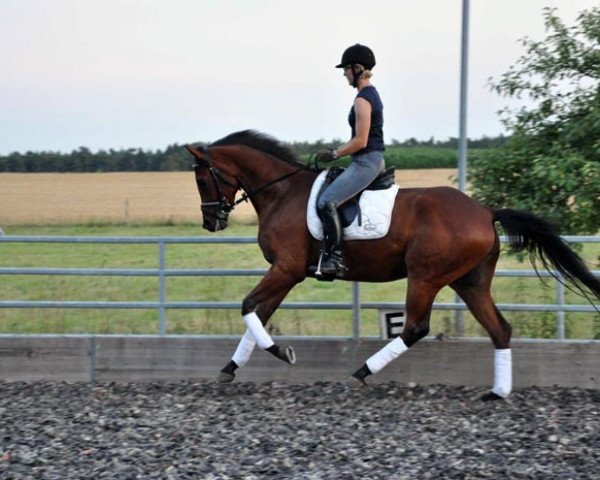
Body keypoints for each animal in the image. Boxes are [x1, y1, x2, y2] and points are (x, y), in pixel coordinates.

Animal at [186, 129, 600, 400]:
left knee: (416, 327)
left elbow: (248, 307)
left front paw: (281, 353)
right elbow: (257, 314)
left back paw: (360, 374)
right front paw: (229, 370)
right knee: (499, 329)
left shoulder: (285, 269)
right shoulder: (288, 273)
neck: (282, 192)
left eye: (202, 179)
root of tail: (485, 211)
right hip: (470, 282)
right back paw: (497, 393)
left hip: (425, 277)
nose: (211, 221)